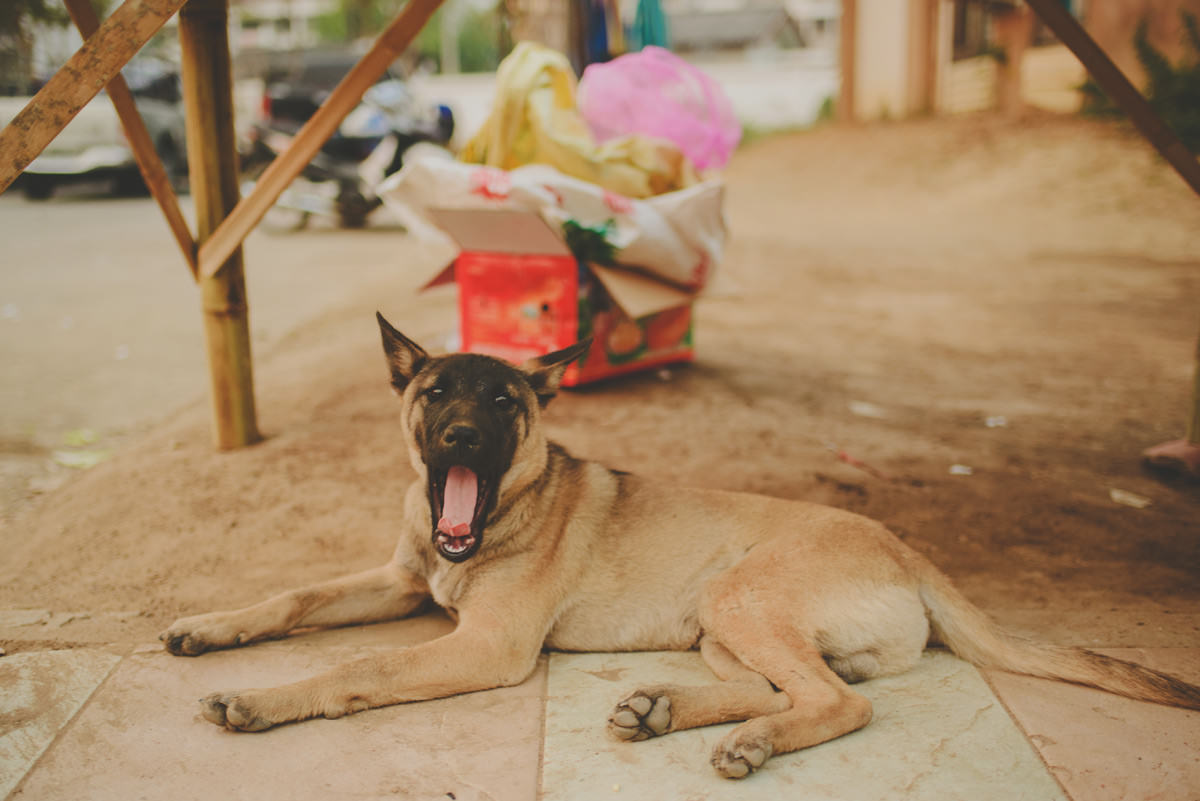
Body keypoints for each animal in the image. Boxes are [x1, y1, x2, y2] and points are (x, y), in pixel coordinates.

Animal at [162, 311, 1200, 777]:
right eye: (436, 393)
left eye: (503, 400)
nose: (460, 438)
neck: (491, 518)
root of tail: (906, 548)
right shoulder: (399, 579)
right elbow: (292, 598)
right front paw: (210, 627)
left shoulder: (484, 645)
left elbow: (358, 668)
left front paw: (263, 700)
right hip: (721, 621)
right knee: (786, 685)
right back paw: (664, 709)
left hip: (740, 595)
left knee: (839, 703)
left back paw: (746, 742)